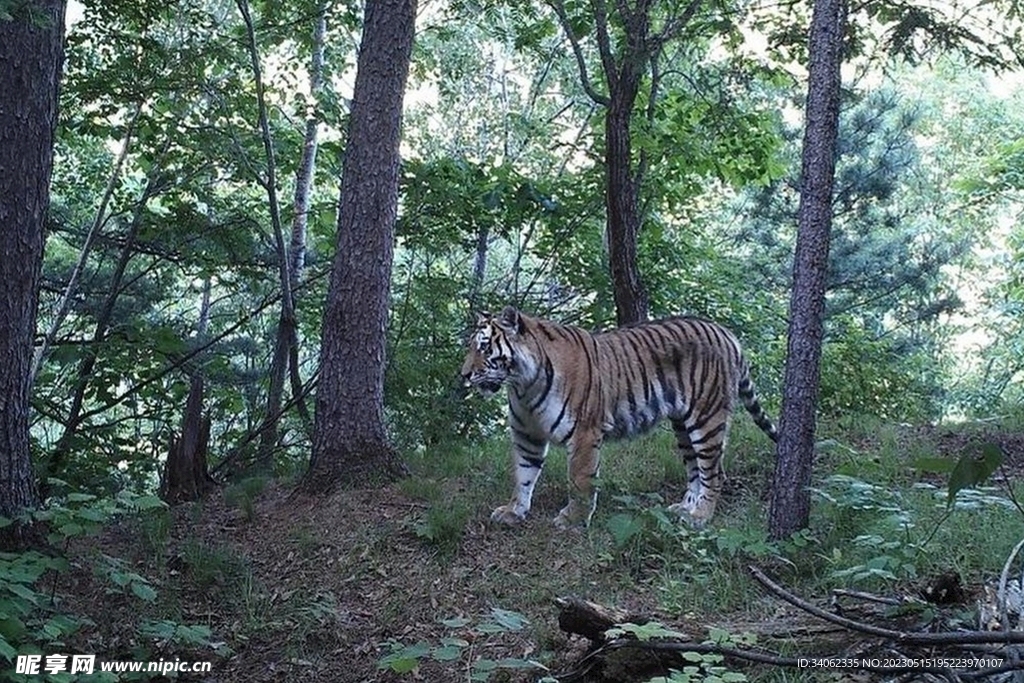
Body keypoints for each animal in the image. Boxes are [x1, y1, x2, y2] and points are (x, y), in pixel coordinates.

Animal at [460, 307, 778, 532]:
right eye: (471, 347)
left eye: (485, 347)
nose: (464, 375)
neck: (523, 385)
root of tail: (726, 332)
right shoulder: (527, 434)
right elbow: (523, 475)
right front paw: (514, 511)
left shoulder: (584, 433)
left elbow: (580, 480)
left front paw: (574, 520)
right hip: (683, 425)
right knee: (695, 470)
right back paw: (685, 510)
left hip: (706, 418)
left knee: (714, 471)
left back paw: (701, 516)